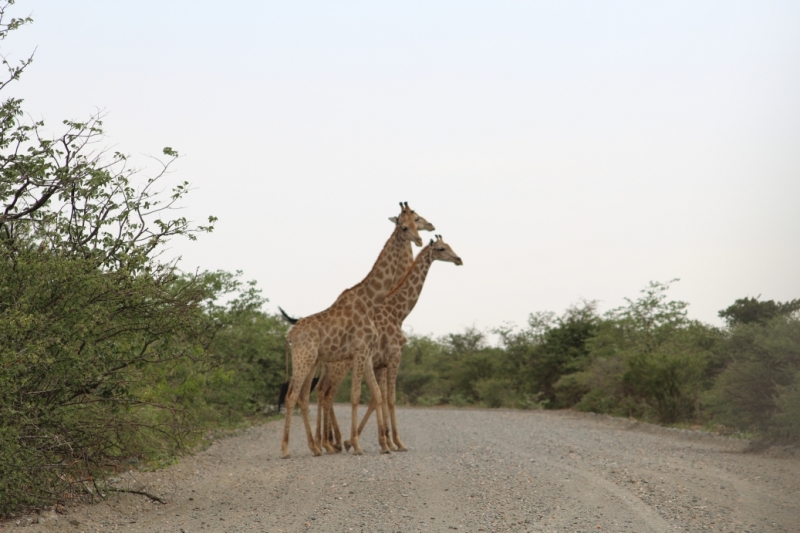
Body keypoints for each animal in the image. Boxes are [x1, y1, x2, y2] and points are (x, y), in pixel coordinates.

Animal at [280, 202, 422, 456]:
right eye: (404, 226)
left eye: (417, 222)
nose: (419, 239)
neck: (370, 301)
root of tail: (291, 335)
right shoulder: (361, 350)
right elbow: (357, 396)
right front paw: (356, 445)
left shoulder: (367, 352)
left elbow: (375, 394)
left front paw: (379, 444)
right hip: (303, 359)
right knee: (292, 395)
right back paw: (287, 449)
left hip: (312, 362)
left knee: (304, 397)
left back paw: (315, 448)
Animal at [316, 236, 460, 454]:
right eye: (442, 249)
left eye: (450, 246)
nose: (459, 259)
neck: (398, 312)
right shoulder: (394, 357)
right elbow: (389, 399)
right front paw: (397, 443)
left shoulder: (380, 363)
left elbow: (378, 398)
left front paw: (382, 441)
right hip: (339, 366)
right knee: (327, 395)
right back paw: (329, 443)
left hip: (331, 367)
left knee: (321, 393)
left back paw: (326, 442)